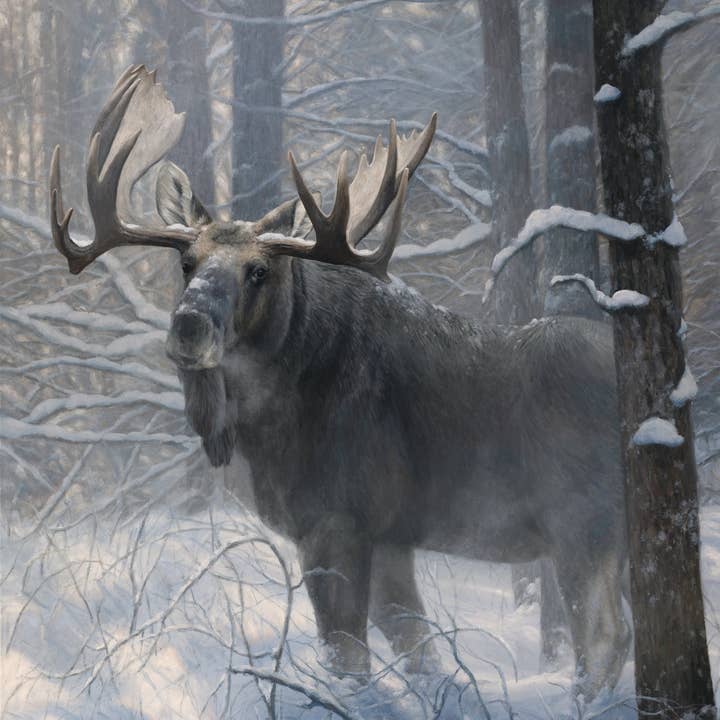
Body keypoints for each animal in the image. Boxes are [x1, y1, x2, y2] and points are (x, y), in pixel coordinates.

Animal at [49, 65, 630, 699]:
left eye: (259, 269)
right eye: (186, 262)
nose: (189, 325)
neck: (269, 425)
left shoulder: (335, 520)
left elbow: (347, 655)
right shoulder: (392, 536)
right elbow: (417, 647)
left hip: (584, 521)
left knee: (603, 640)